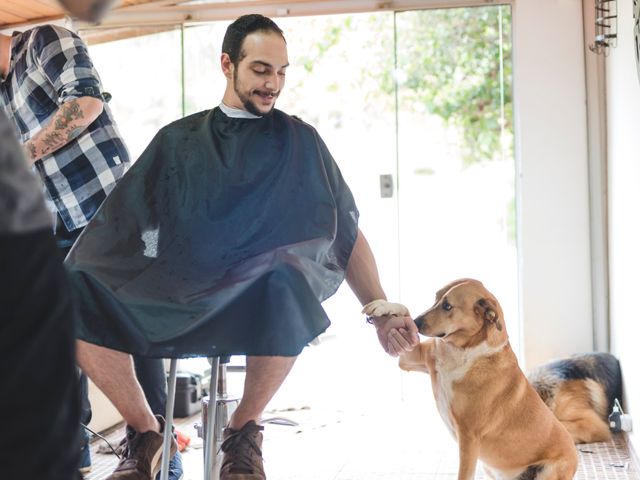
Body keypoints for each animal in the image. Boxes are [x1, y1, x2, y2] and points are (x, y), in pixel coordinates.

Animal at [362, 280, 576, 478]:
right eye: (436, 298)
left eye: (447, 306)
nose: (416, 323)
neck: (463, 350)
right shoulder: (408, 359)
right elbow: (405, 310)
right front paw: (383, 306)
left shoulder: (469, 438)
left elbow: (464, 474)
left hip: (547, 471)